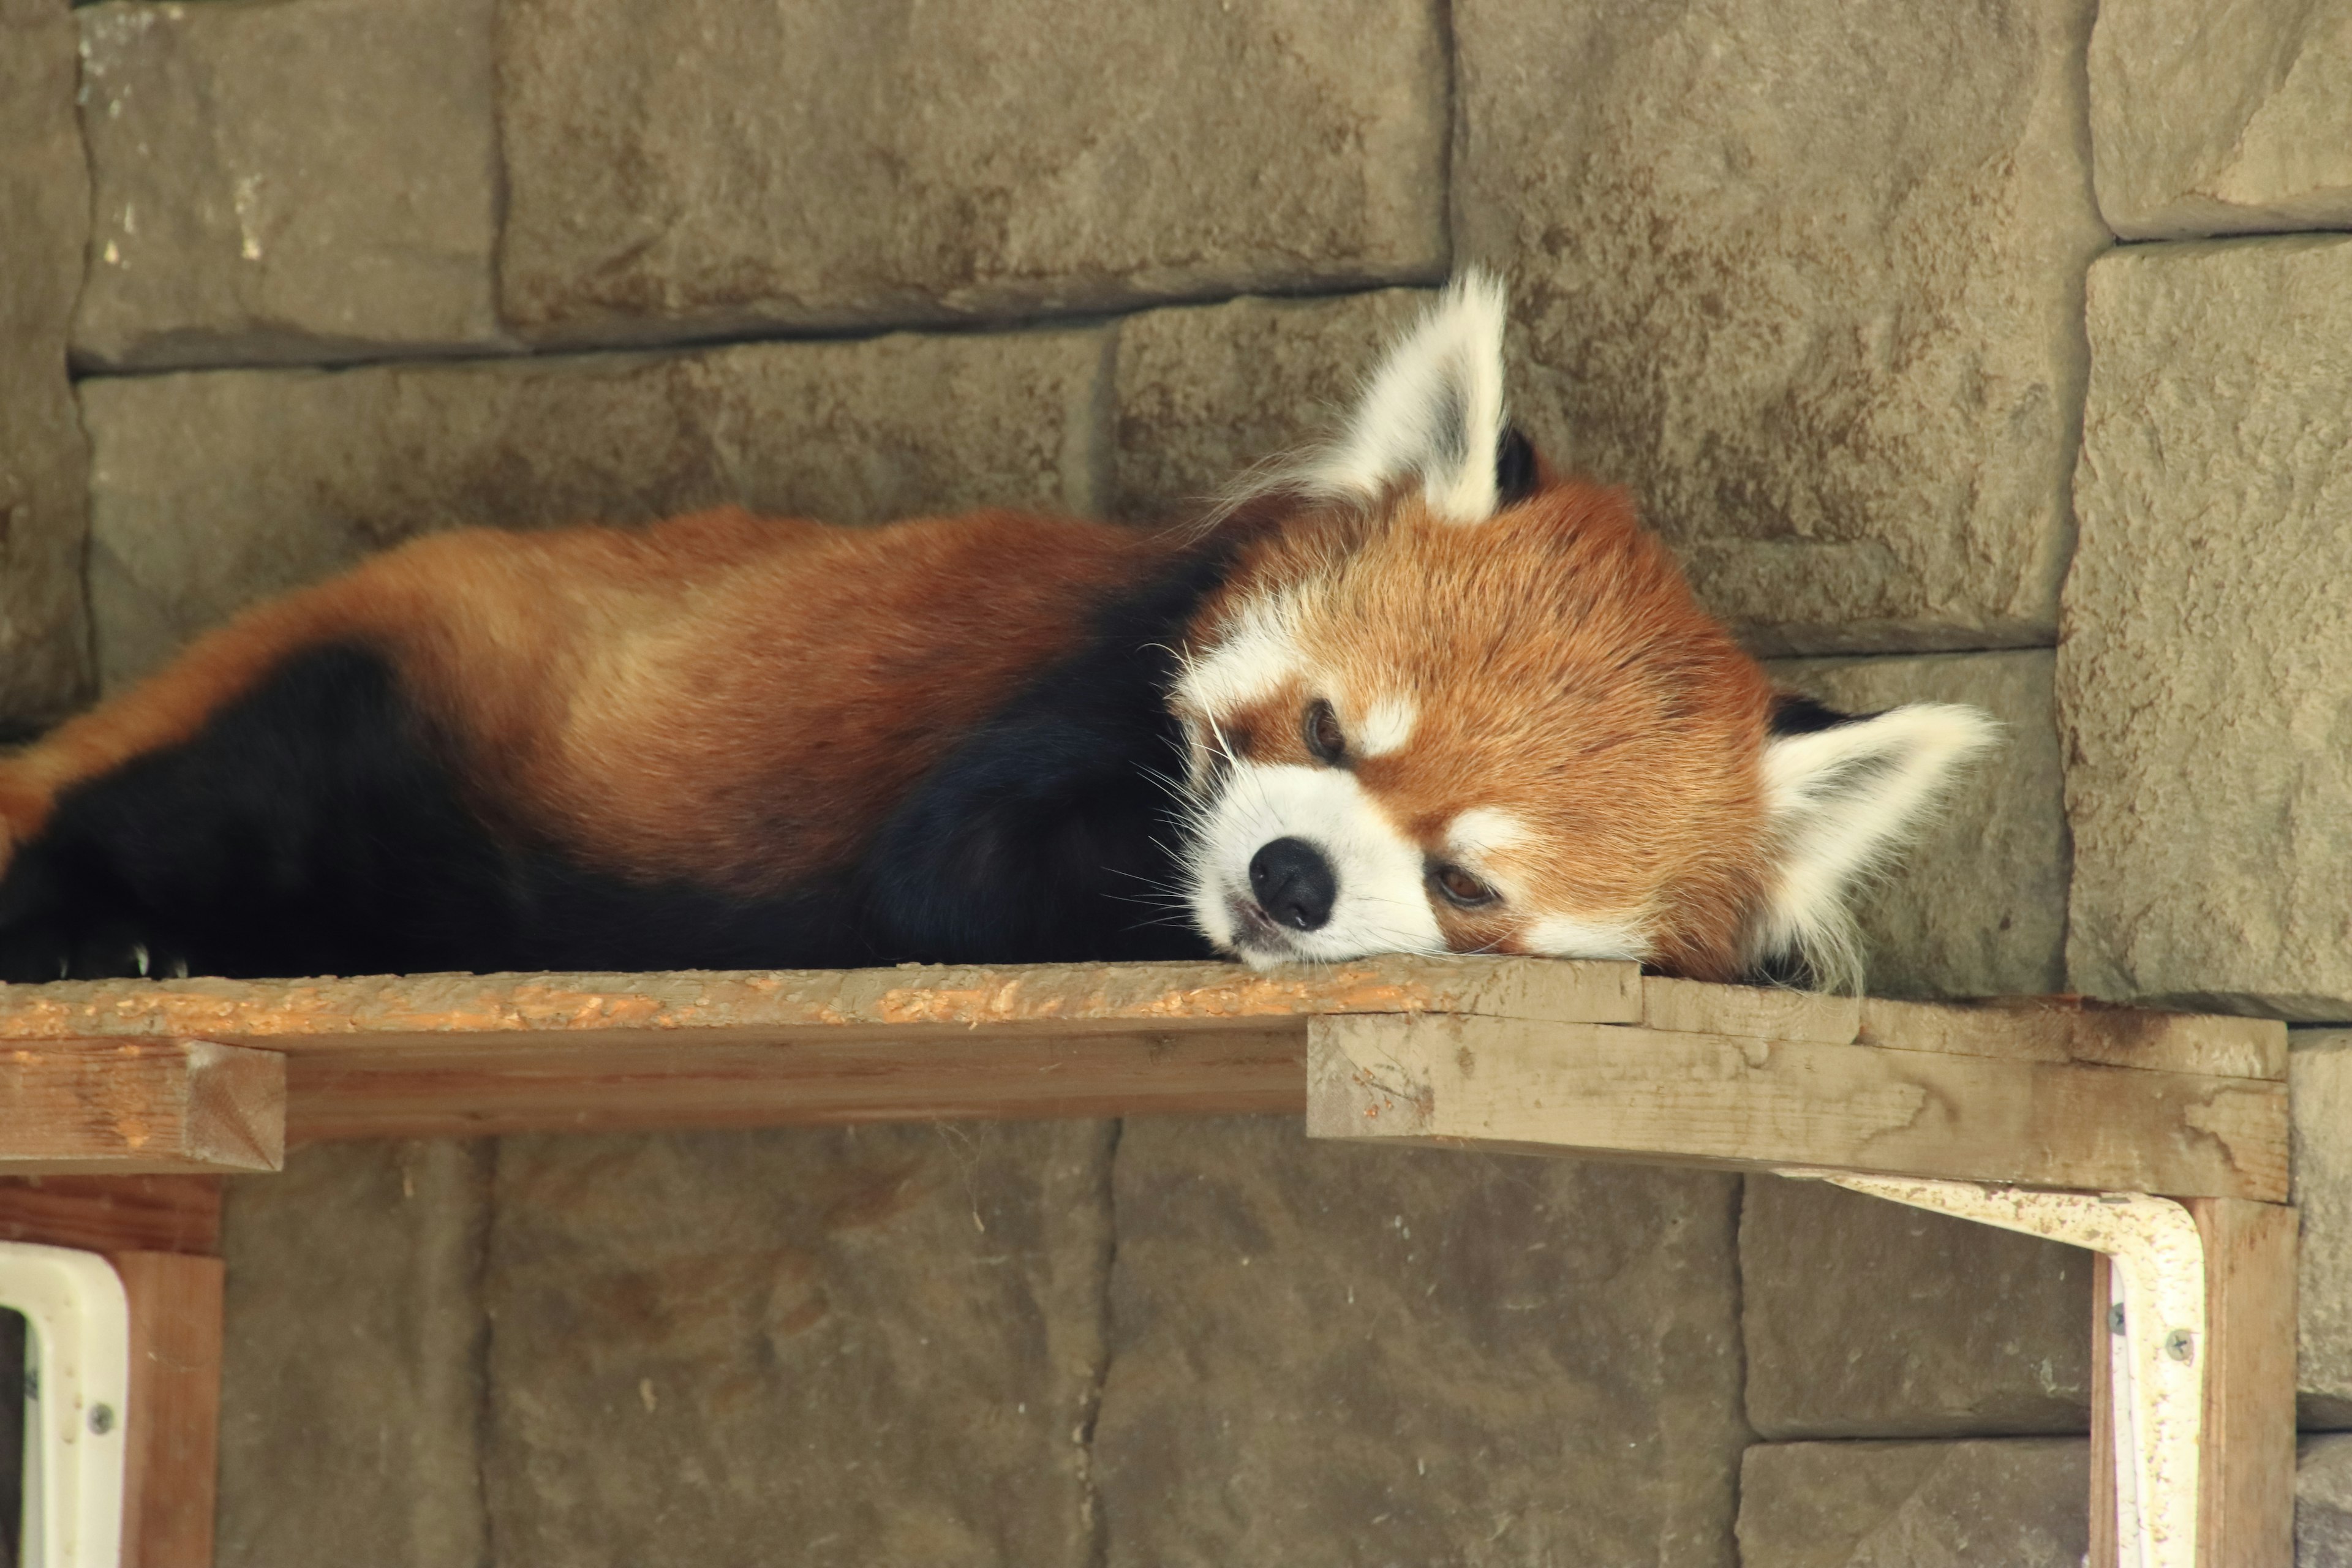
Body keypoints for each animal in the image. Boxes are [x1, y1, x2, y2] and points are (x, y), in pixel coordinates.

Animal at [0, 270, 1994, 982]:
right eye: (1323, 732)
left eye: (1466, 881)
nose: (1283, 878)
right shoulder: (1044, 688)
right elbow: (948, 868)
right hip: (396, 708)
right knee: (208, 796)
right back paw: (98, 934)